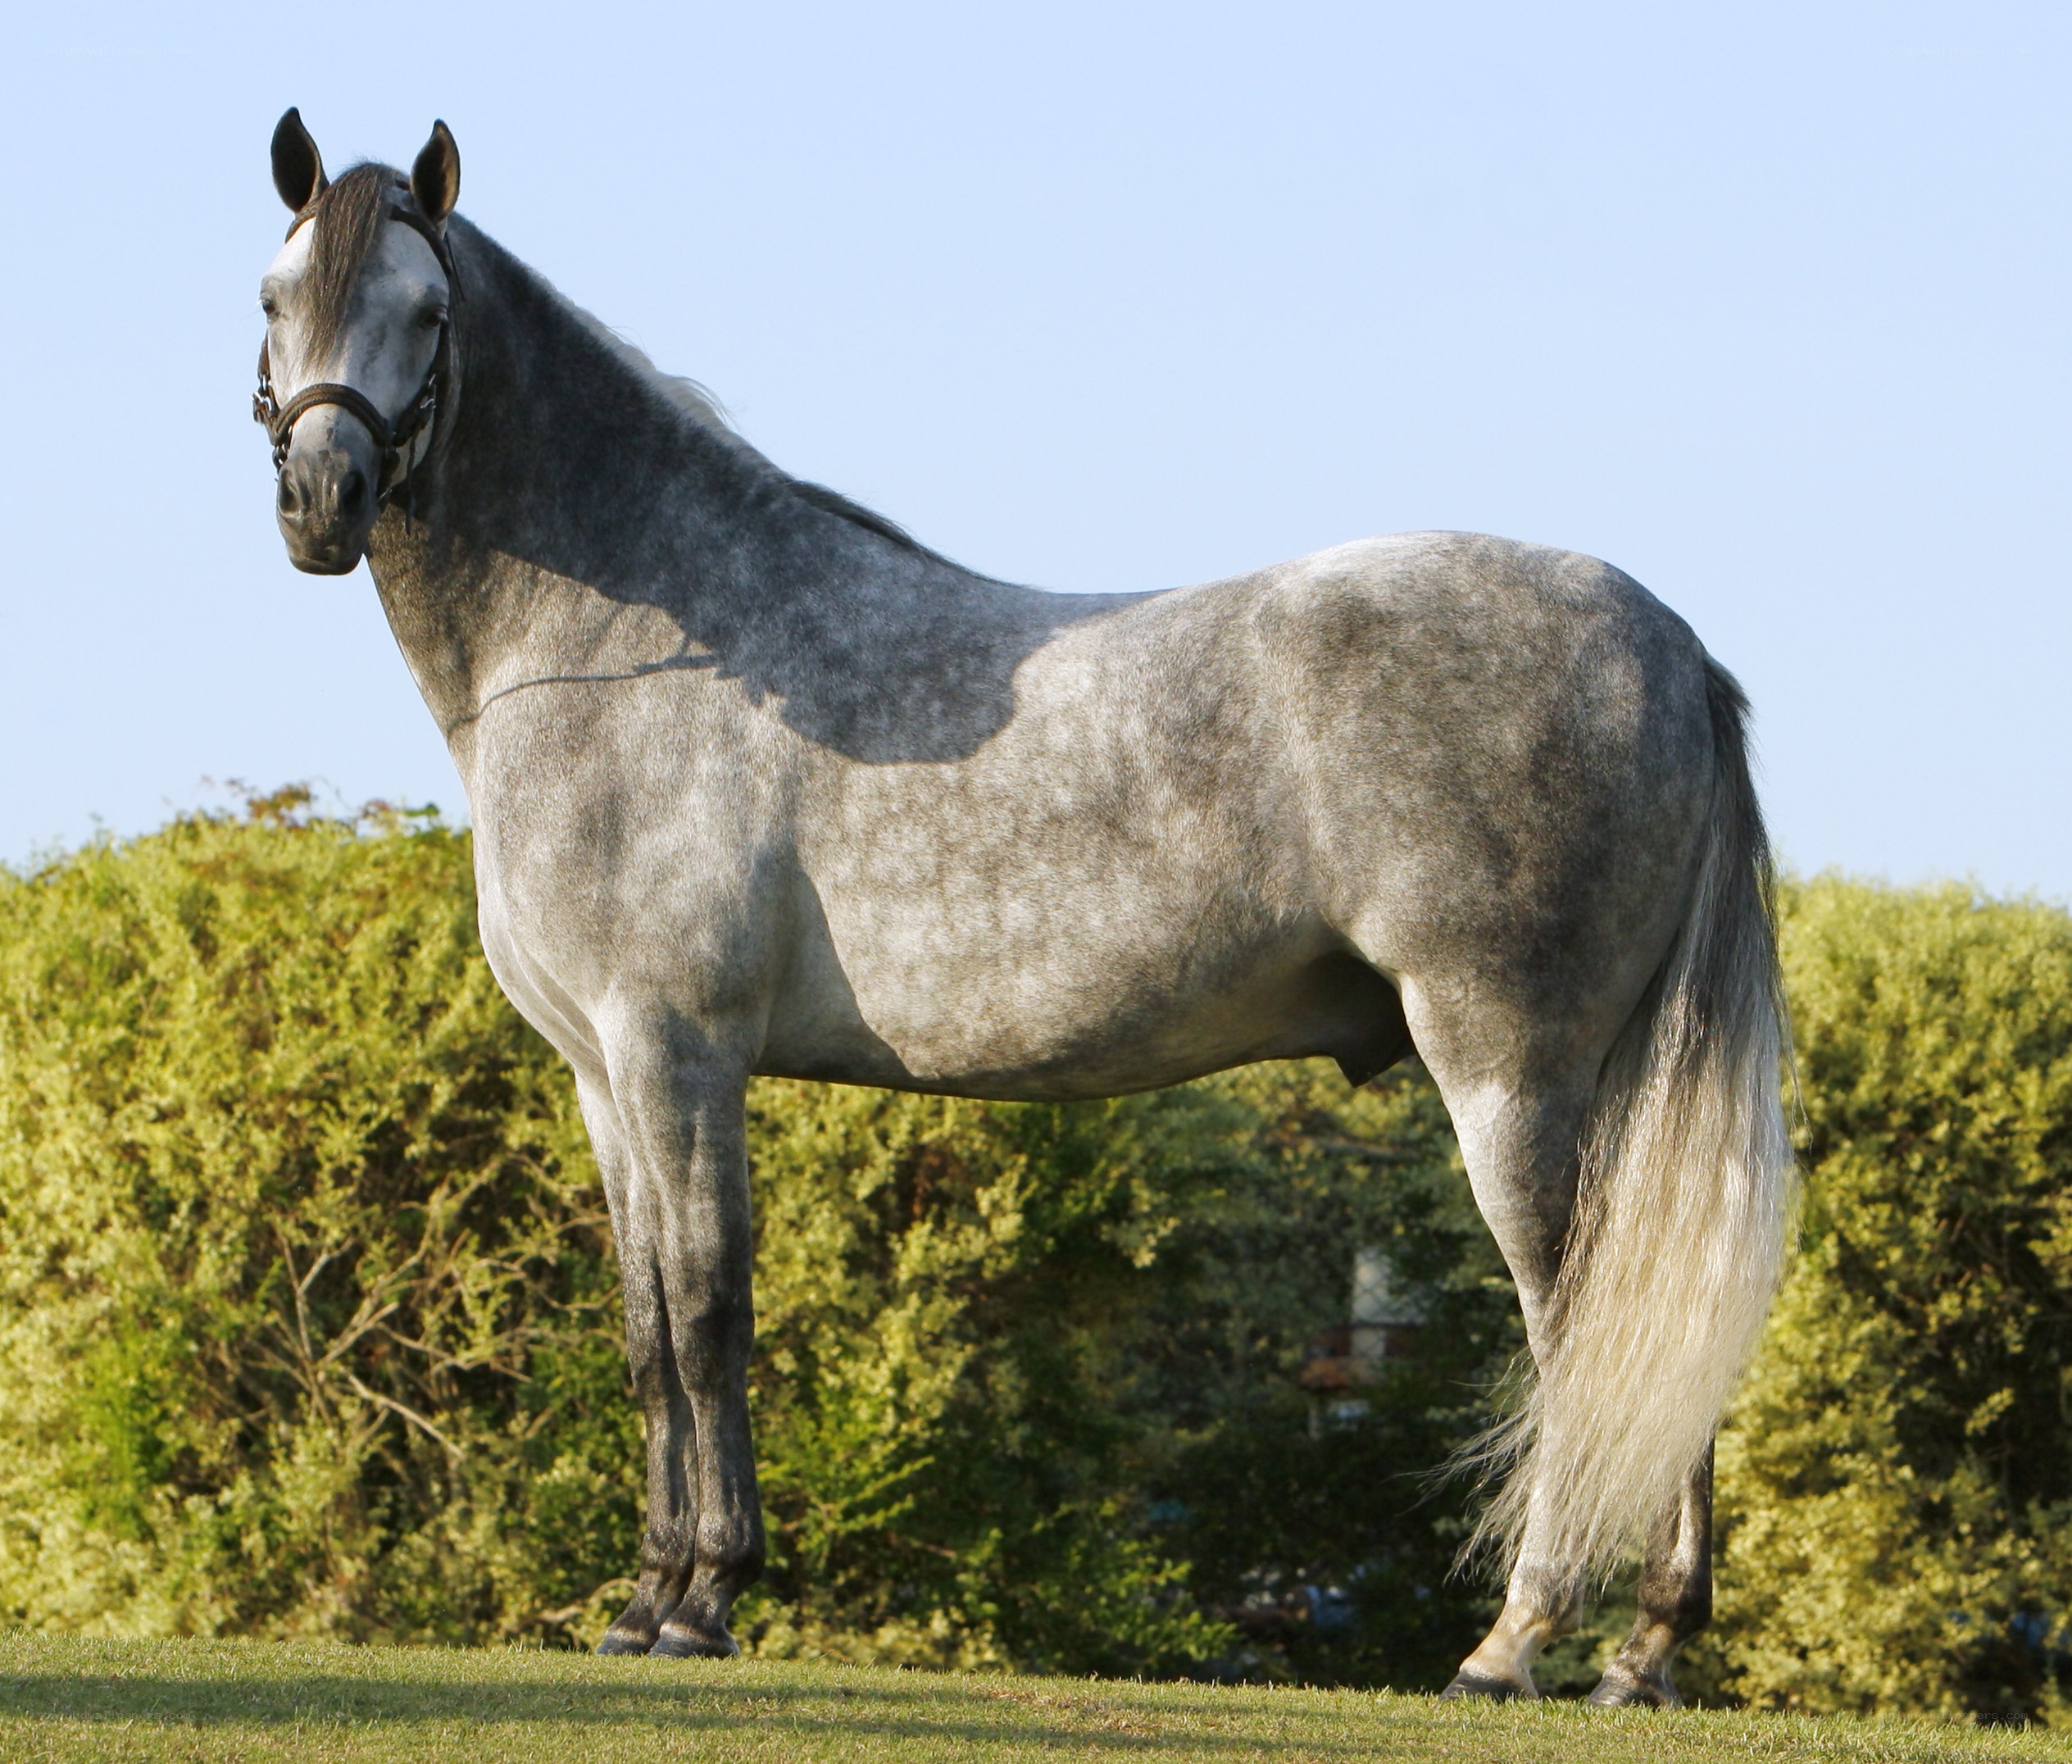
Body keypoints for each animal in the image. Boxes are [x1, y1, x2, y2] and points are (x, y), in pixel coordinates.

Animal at [250, 109, 1792, 1704]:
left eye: (426, 315)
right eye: (272, 296)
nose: (319, 500)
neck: (631, 645)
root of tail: (1671, 645)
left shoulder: (677, 1051)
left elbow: (710, 1308)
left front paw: (704, 1597)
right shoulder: (603, 1076)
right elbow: (647, 1331)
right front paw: (644, 1599)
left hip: (1509, 1071)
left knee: (1583, 1325)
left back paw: (1513, 1642)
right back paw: (1644, 1651)